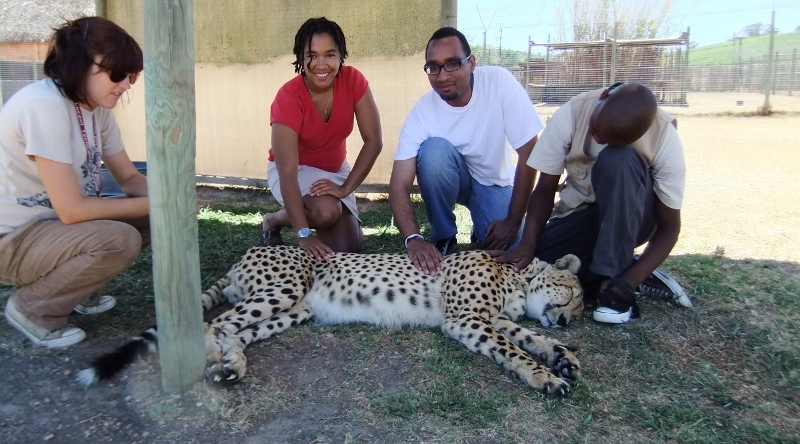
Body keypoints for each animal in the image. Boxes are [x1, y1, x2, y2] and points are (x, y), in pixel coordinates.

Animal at [78, 245, 584, 397]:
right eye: (577, 294)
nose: (568, 320)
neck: (515, 278)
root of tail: (249, 251)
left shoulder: (489, 316)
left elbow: (526, 335)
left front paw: (562, 356)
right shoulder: (464, 318)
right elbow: (512, 347)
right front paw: (545, 376)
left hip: (292, 311)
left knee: (235, 330)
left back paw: (232, 365)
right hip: (282, 289)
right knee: (212, 326)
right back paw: (214, 364)